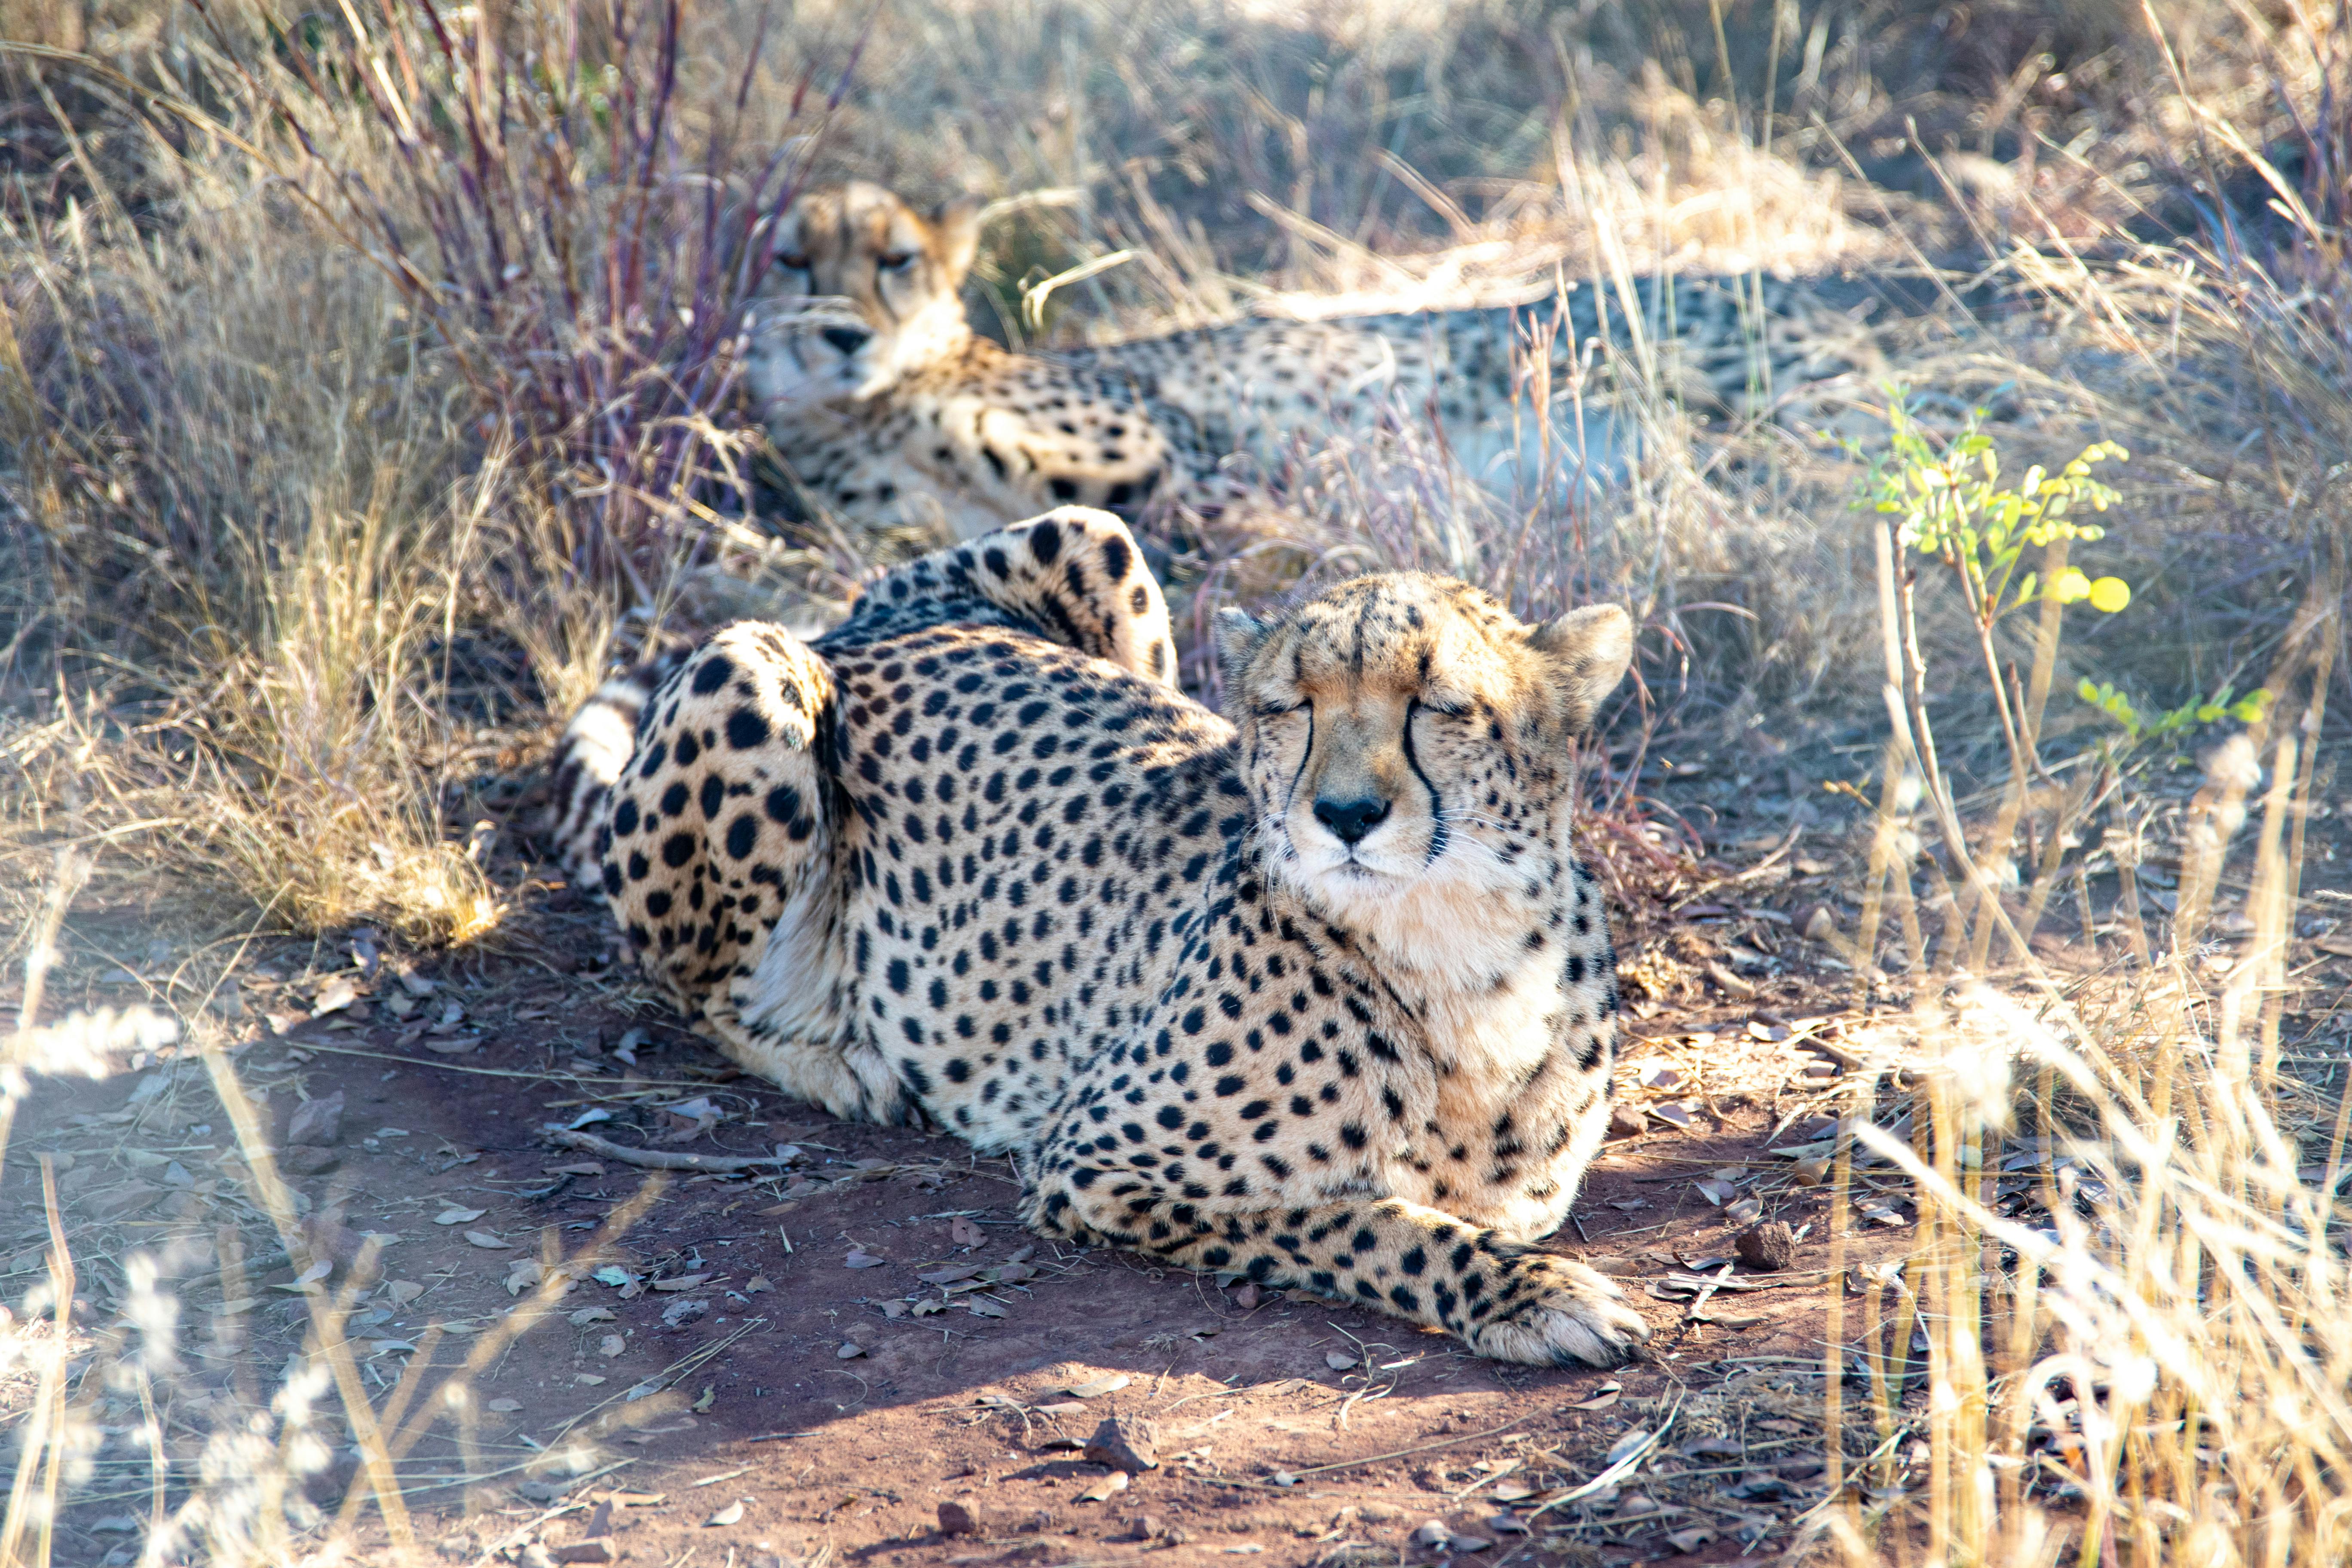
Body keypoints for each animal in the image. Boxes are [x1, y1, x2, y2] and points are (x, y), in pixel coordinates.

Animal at [550, 510, 1656, 1363]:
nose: (1343, 814)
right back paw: (841, 1065)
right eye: (1289, 708)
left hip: (1094, 534)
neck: (1454, 948)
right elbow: (1366, 1218)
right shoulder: (1093, 1160)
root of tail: (863, 626)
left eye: (1436, 706)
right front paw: (1532, 1295)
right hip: (751, 672)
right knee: (692, 989)